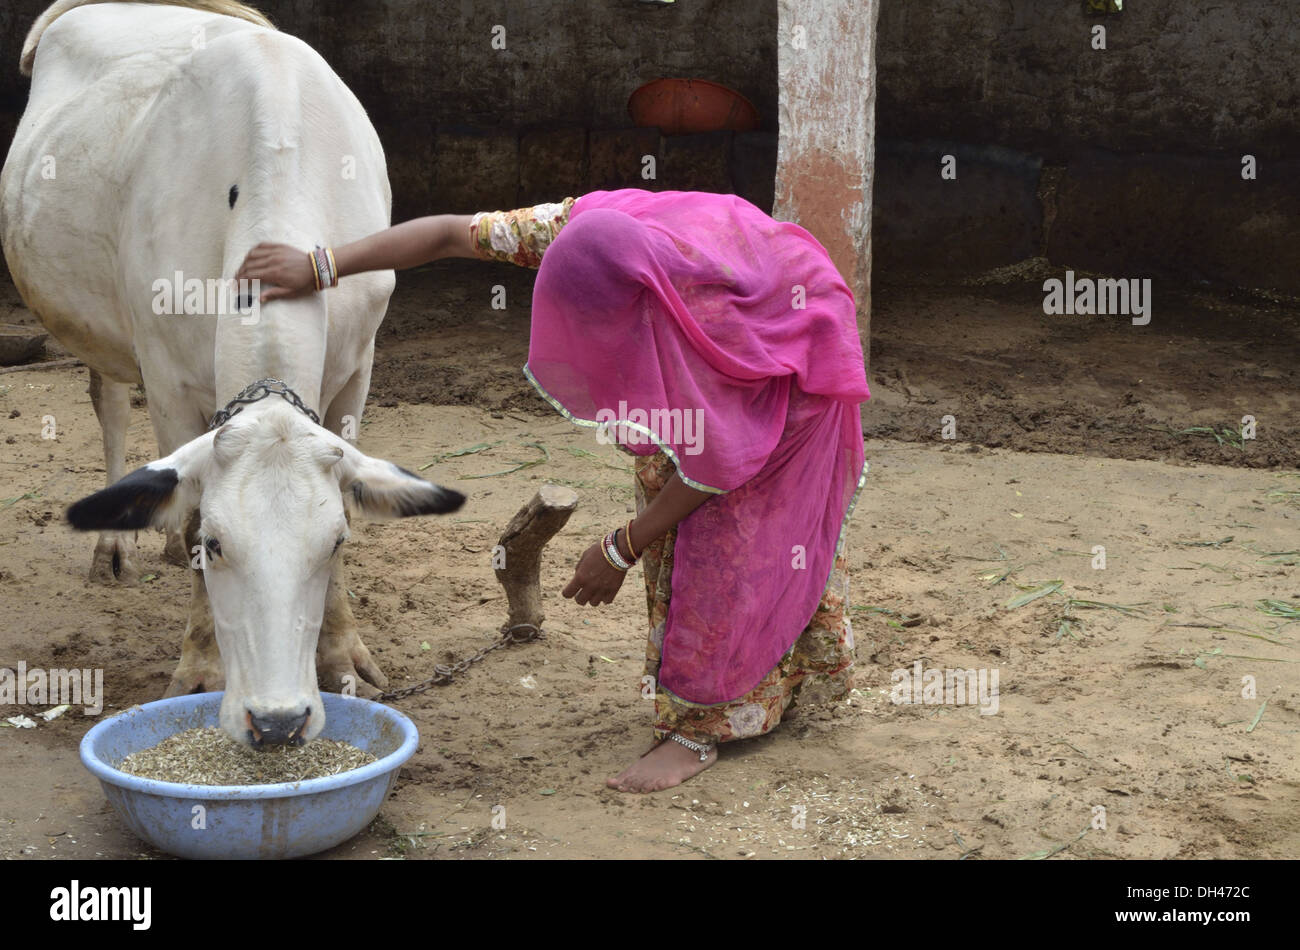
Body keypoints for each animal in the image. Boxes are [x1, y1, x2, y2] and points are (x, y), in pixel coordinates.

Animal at [0, 0, 462, 746]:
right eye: (219, 546)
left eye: (331, 542)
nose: (276, 724)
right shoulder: (166, 377)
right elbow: (188, 509)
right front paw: (200, 669)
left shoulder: (359, 366)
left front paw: (343, 658)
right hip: (101, 326)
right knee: (110, 404)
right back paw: (113, 548)